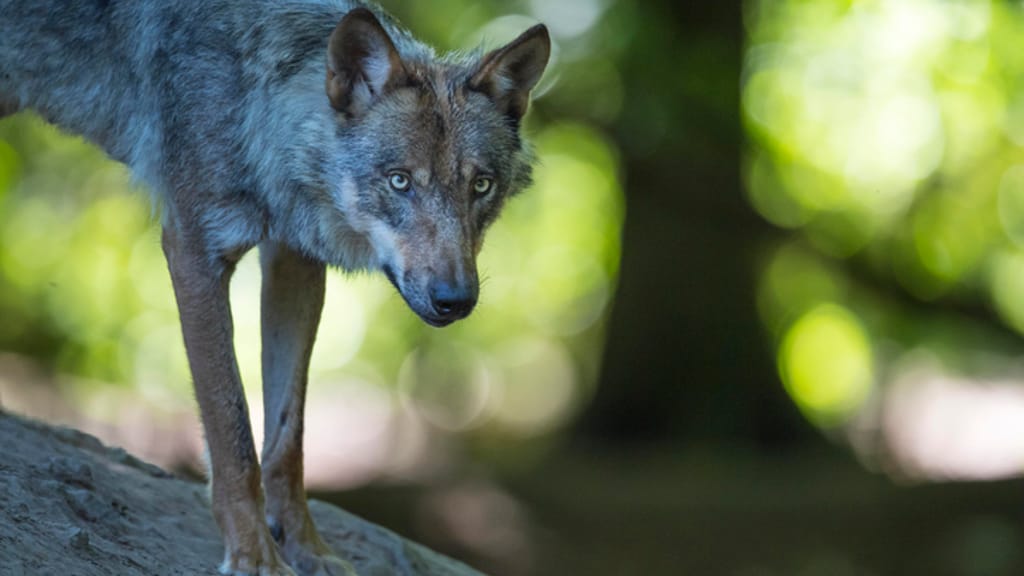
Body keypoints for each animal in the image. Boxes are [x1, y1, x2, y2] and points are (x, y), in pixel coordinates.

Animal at [0, 1, 549, 574]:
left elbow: (288, 437)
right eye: (399, 181)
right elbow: (233, 432)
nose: (455, 300)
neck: (255, 104)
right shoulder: (194, 252)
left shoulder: (294, 264)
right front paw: (254, 556)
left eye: (481, 186)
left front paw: (308, 549)